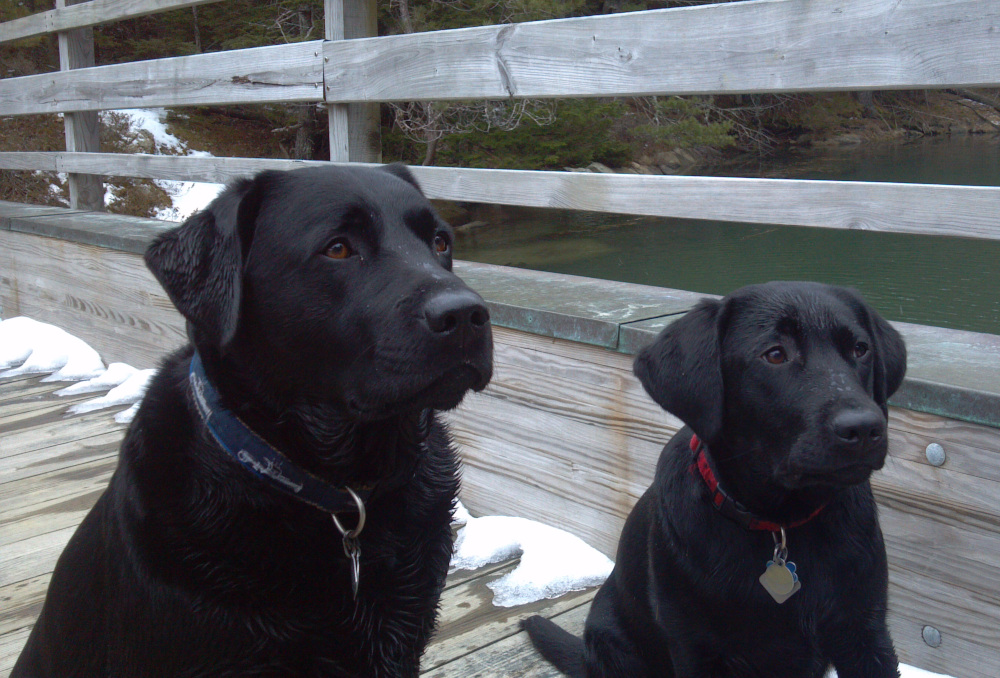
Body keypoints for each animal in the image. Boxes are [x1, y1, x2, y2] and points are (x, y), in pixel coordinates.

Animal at [524, 282, 908, 678]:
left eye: (860, 349)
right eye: (775, 355)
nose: (864, 428)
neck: (781, 523)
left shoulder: (865, 633)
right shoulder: (697, 648)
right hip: (613, 645)